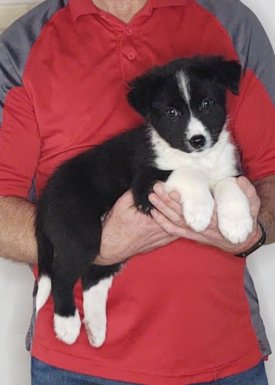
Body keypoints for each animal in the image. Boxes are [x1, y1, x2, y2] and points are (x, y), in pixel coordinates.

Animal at [35, 57, 254, 348]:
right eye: (172, 113)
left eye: (207, 104)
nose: (198, 140)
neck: (199, 158)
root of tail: (45, 196)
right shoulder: (145, 184)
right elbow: (187, 173)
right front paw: (200, 211)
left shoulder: (228, 170)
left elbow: (230, 184)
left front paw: (237, 225)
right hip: (81, 234)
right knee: (61, 276)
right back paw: (67, 324)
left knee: (93, 275)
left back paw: (96, 328)